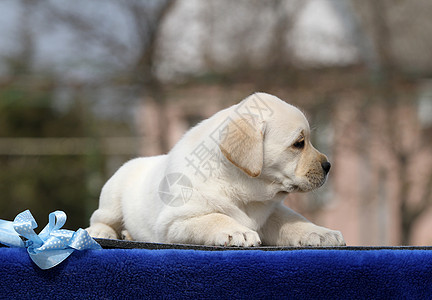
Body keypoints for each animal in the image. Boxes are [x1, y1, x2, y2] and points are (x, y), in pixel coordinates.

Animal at [87, 93, 344, 246]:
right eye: (299, 143)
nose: (328, 166)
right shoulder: (175, 221)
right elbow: (214, 217)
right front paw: (237, 232)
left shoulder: (270, 212)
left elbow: (293, 220)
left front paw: (321, 233)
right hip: (112, 197)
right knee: (99, 219)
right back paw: (104, 232)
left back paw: (128, 234)